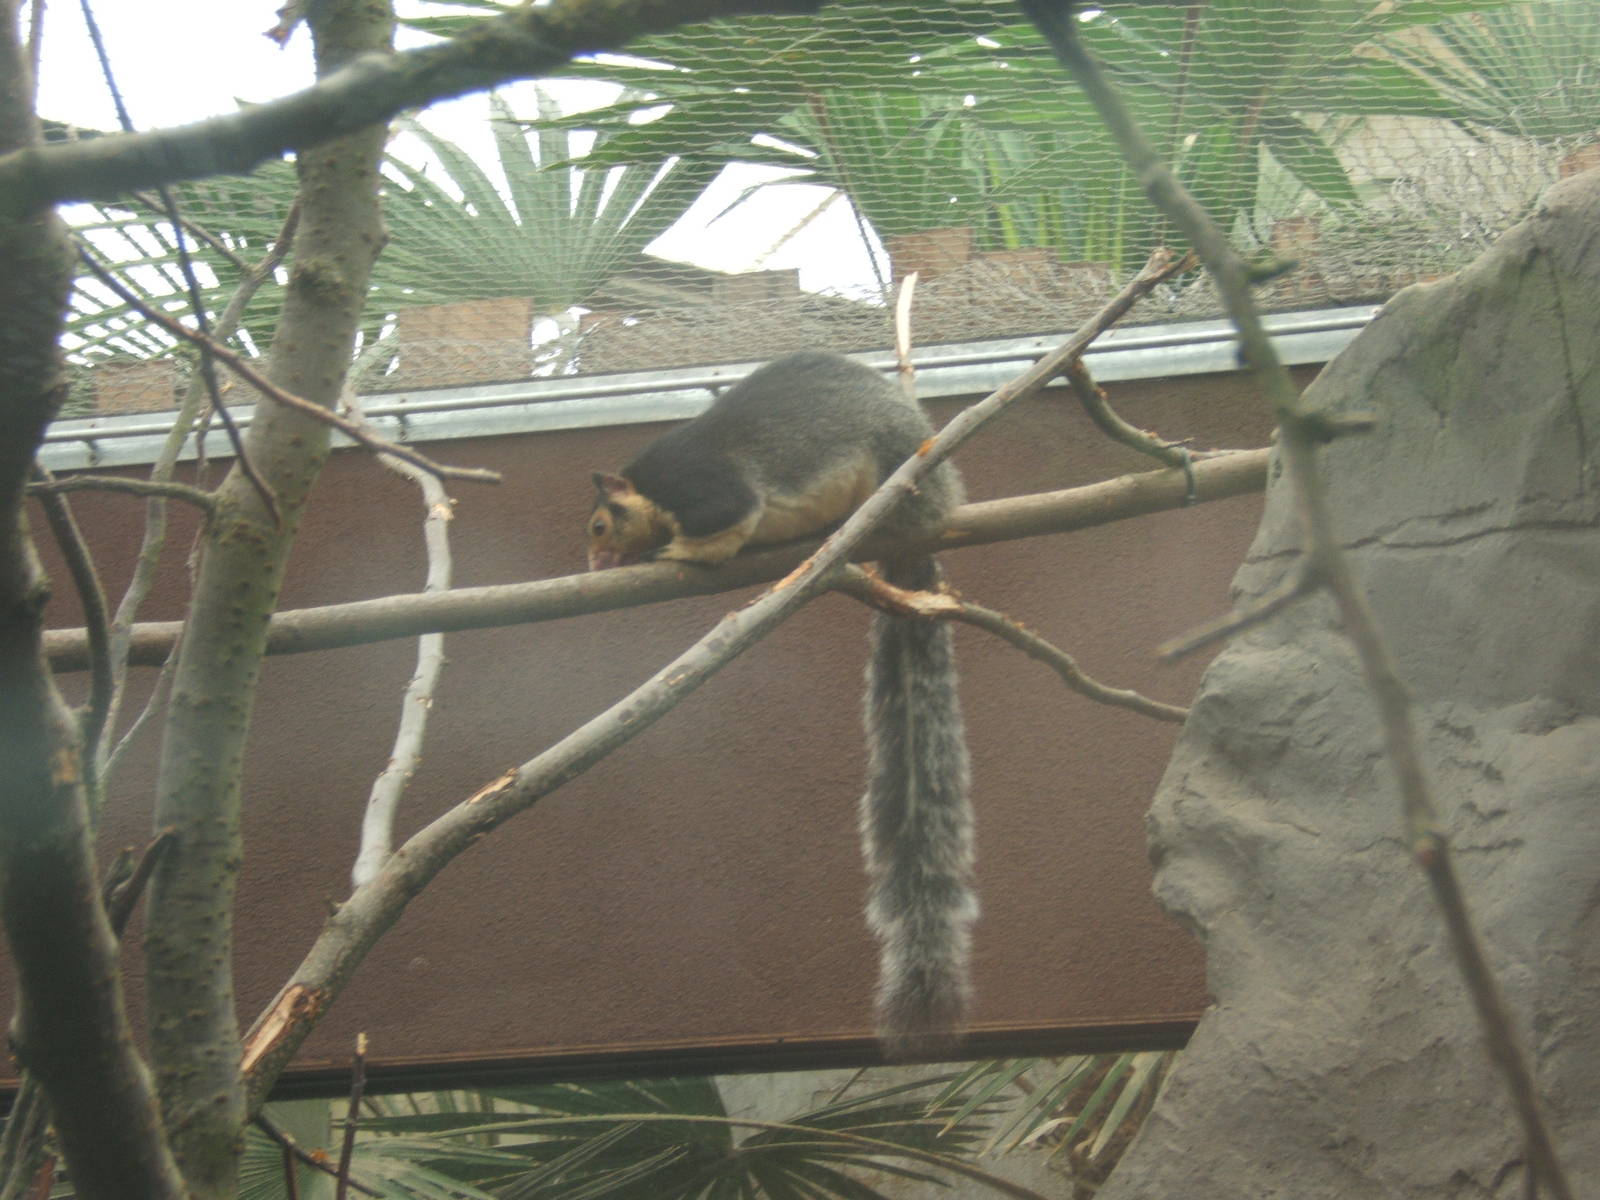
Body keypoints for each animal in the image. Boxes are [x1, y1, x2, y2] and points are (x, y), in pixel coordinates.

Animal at [587, 349, 975, 1057]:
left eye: (601, 523)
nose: (596, 562)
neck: (651, 490)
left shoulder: (706, 489)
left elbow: (725, 526)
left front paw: (673, 549)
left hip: (897, 472)